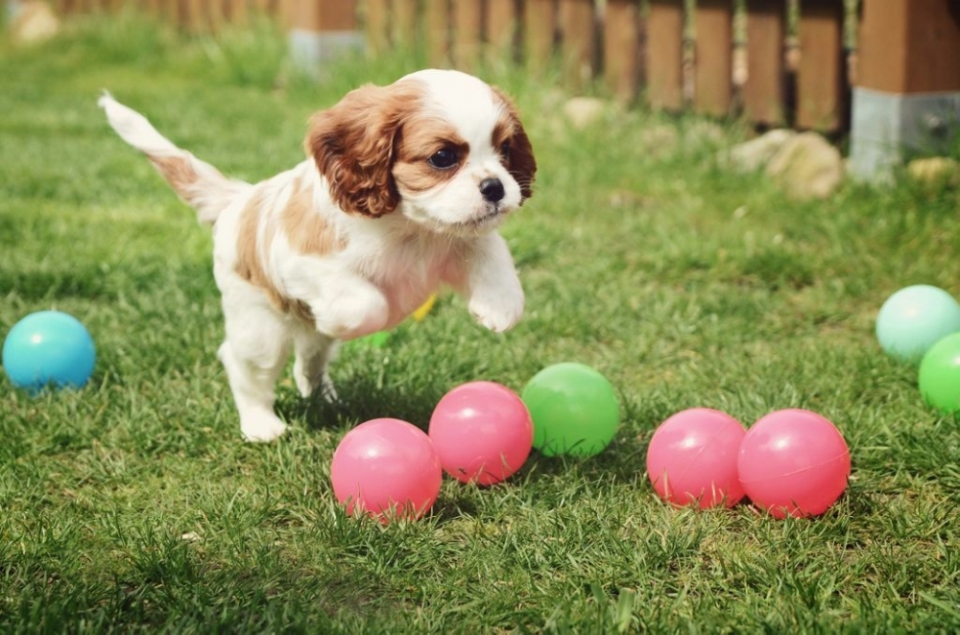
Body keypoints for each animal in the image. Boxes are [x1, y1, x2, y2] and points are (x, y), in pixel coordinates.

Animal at [103, 71, 540, 442]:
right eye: (443, 157)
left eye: (504, 150)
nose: (496, 187)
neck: (410, 226)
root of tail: (237, 199)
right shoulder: (302, 262)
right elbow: (367, 303)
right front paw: (358, 319)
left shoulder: (460, 236)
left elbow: (490, 252)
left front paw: (500, 306)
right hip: (259, 326)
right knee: (243, 364)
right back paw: (260, 424)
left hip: (308, 340)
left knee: (309, 361)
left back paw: (324, 397)